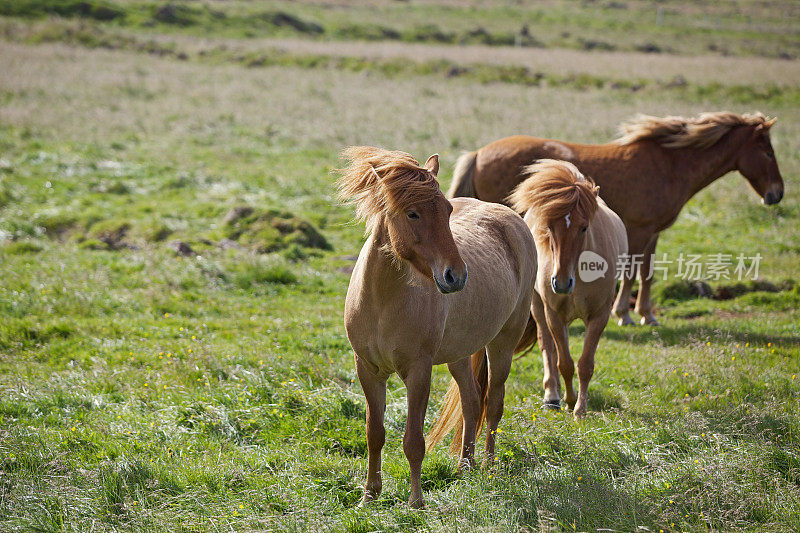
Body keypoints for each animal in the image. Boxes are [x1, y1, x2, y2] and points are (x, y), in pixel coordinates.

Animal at [334, 145, 536, 508]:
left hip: (503, 343)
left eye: (447, 210)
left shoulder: (419, 371)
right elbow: (375, 433)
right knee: (472, 402)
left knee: (493, 403)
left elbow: (414, 439)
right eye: (412, 214)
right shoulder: (368, 370)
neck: (382, 302)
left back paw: (488, 466)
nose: (456, 275)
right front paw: (369, 495)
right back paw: (465, 467)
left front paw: (416, 502)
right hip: (459, 355)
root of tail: (510, 216)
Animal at [450, 111, 788, 324]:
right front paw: (624, 313)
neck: (670, 165)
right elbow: (630, 271)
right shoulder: (639, 230)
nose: (777, 193)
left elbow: (647, 271)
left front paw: (647, 314)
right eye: (768, 153)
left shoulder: (653, 232)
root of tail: (479, 154)